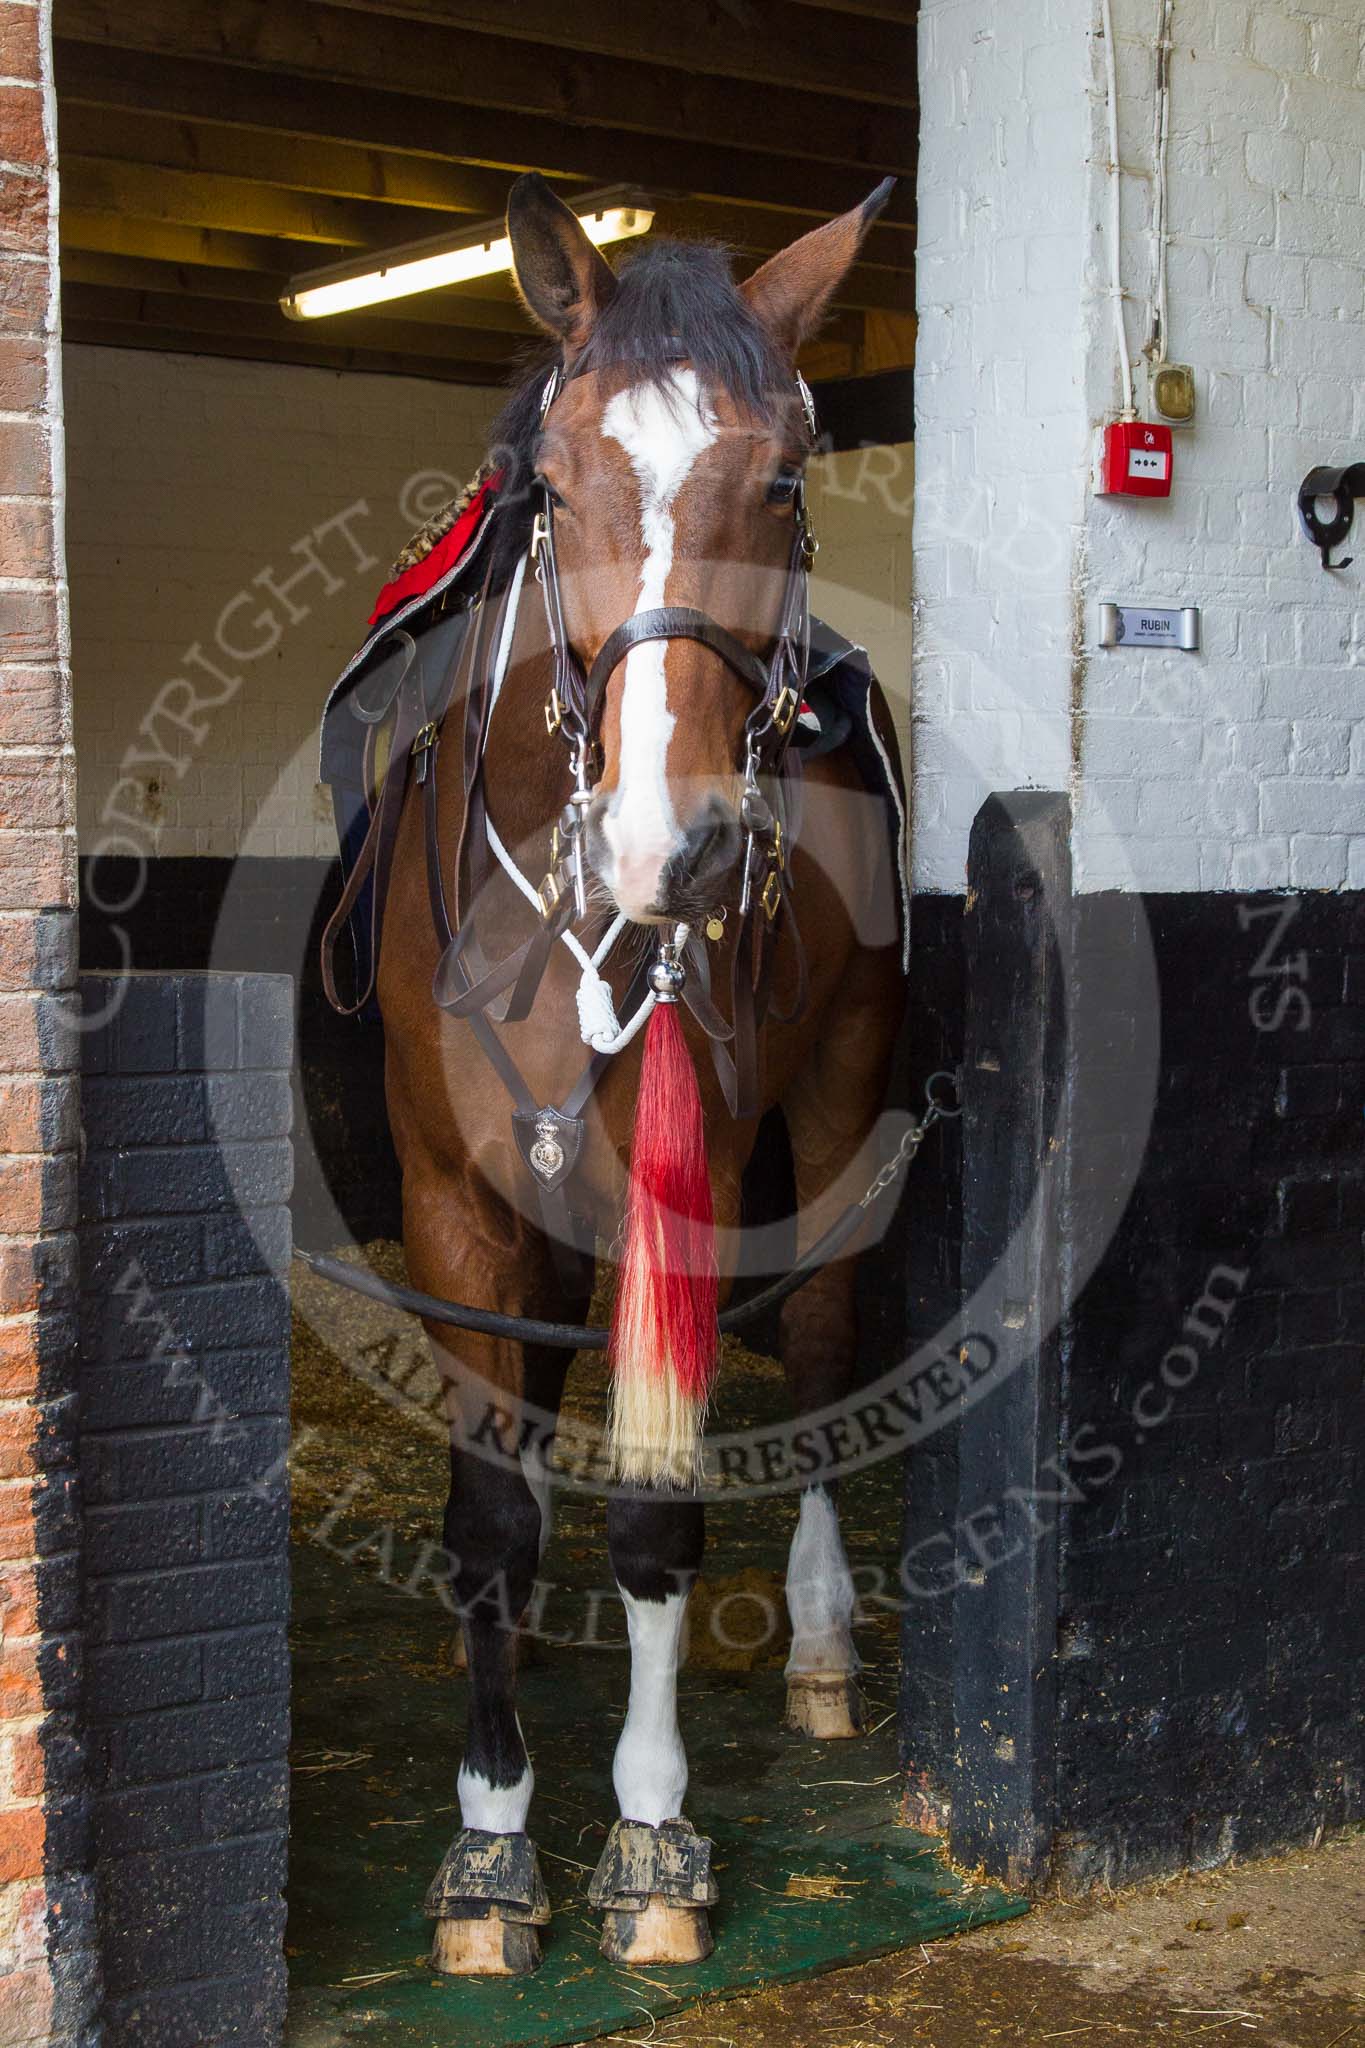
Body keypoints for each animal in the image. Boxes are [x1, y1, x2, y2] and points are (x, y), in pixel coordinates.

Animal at [374, 180, 908, 1982]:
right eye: (554, 479)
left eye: (787, 479)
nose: (669, 847)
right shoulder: (455, 1199)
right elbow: (489, 1514)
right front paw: (485, 1837)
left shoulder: (688, 1188)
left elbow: (659, 1521)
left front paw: (652, 1827)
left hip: (831, 1105)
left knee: (821, 1348)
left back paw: (817, 1647)